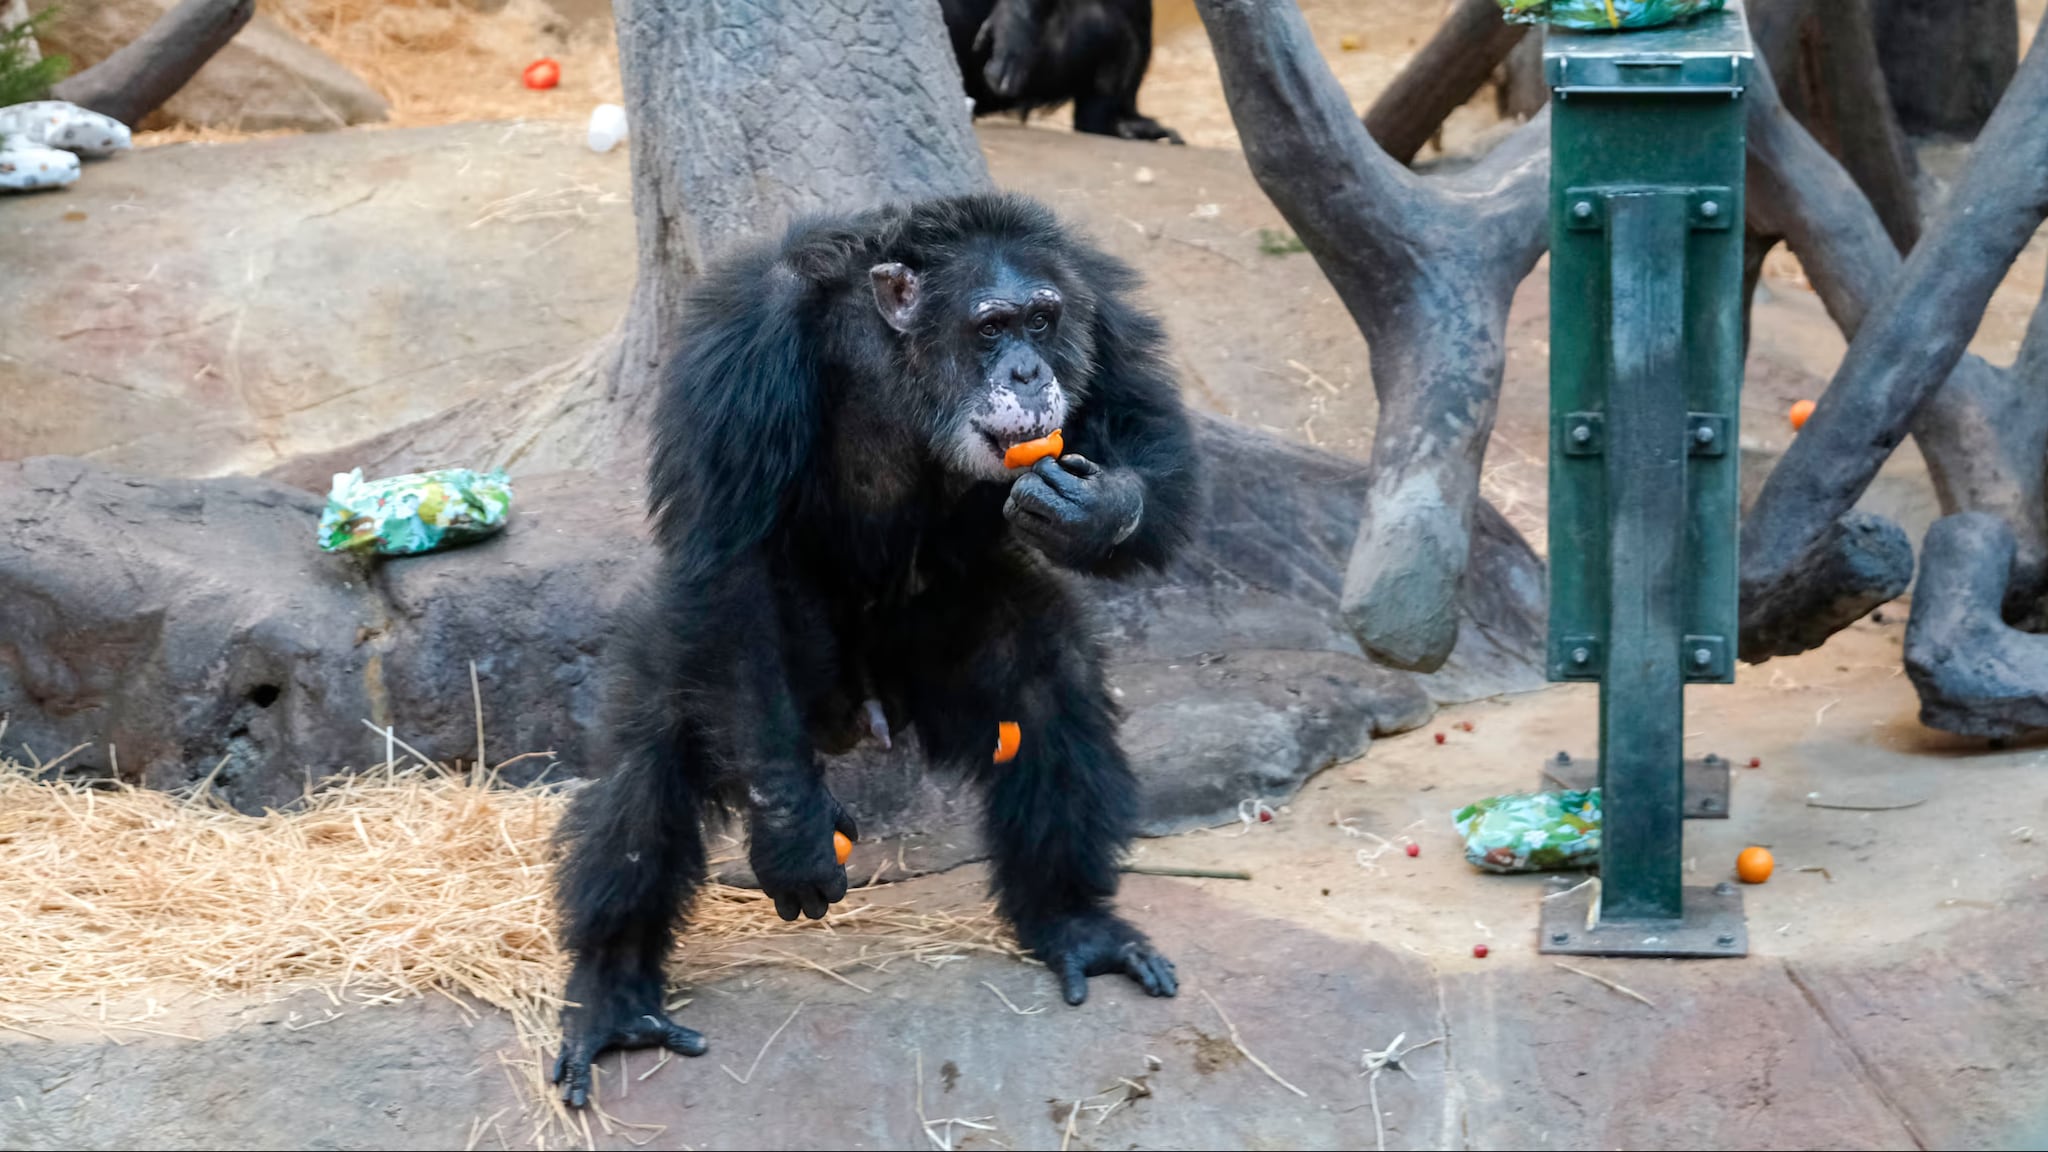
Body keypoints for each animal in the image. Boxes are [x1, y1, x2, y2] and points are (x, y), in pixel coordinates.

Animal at [552, 190, 1204, 1106]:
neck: (895, 360)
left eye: (1043, 321)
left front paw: (1099, 505)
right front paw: (792, 832)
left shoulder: (1099, 305)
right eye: (991, 328)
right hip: (757, 680)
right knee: (653, 752)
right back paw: (613, 996)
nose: (1029, 372)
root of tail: (860, 708)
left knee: (1051, 689)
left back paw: (1074, 922)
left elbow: (1154, 441)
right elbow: (731, 553)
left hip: (941, 646)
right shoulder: (744, 347)